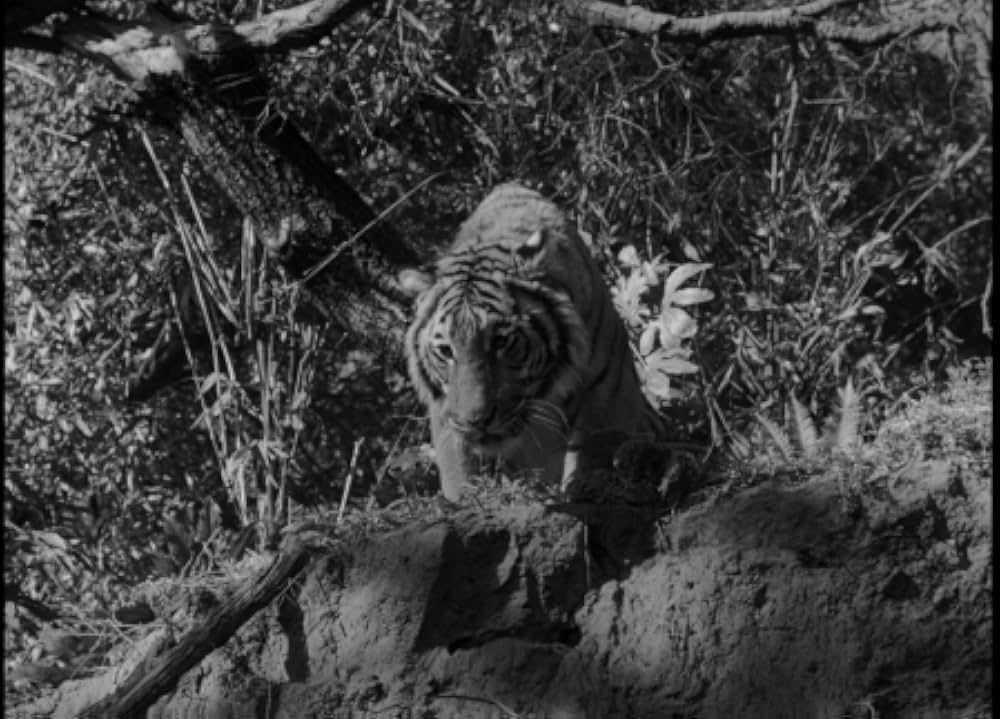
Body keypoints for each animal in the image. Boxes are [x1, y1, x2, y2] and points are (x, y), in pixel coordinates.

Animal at [400, 183, 666, 501]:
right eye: (445, 350)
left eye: (501, 341)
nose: (475, 421)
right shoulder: (446, 415)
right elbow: (460, 475)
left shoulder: (607, 396)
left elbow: (592, 455)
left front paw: (586, 489)